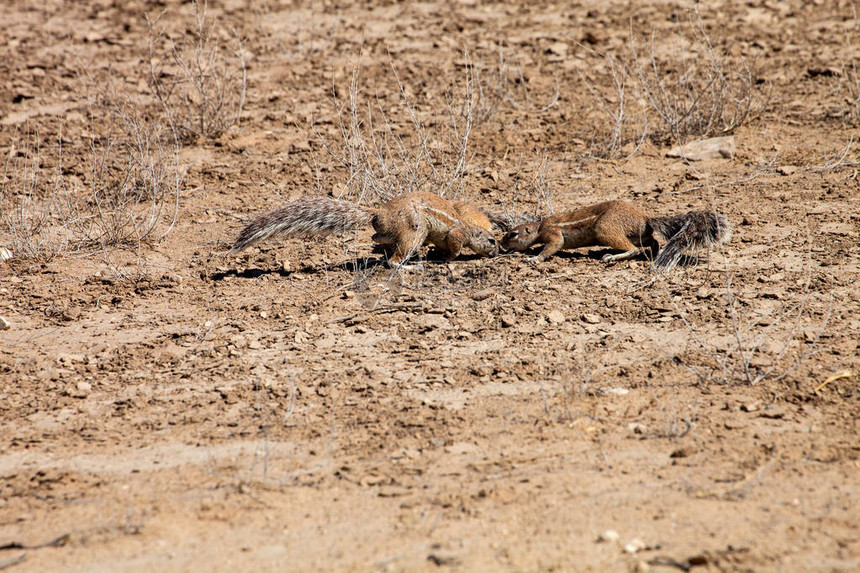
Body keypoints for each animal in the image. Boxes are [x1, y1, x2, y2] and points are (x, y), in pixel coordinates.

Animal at [230, 190, 498, 266]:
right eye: (492, 241)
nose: (497, 252)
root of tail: (381, 213)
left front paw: (435, 253)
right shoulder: (456, 233)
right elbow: (454, 245)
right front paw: (448, 258)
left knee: (377, 237)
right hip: (414, 230)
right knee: (395, 258)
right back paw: (406, 264)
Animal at [504, 200, 732, 272]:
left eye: (512, 234)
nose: (500, 243)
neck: (538, 227)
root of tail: (645, 218)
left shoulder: (551, 232)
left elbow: (554, 244)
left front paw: (534, 258)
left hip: (604, 228)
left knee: (632, 249)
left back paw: (611, 257)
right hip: (636, 234)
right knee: (652, 241)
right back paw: (653, 253)